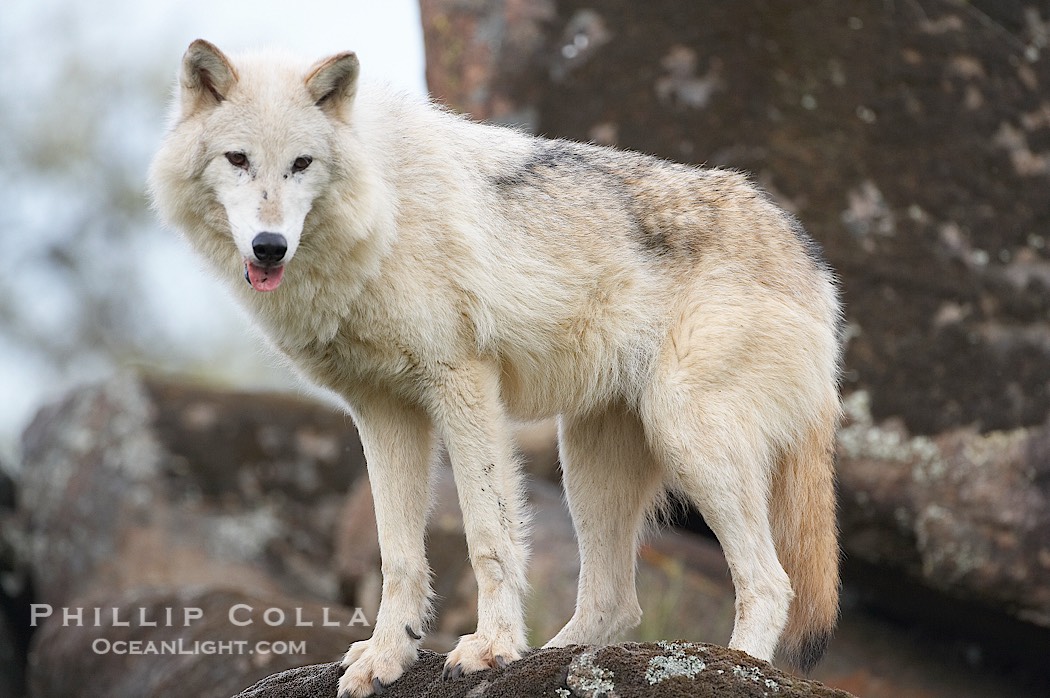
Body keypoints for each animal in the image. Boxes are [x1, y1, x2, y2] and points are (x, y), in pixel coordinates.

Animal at [148, 39, 842, 698]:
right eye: (237, 159)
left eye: (302, 164)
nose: (269, 246)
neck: (383, 212)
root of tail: (810, 260)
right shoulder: (382, 411)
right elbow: (398, 557)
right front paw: (386, 658)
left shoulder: (464, 385)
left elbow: (490, 537)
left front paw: (490, 649)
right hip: (588, 465)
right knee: (618, 602)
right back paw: (556, 661)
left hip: (685, 438)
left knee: (769, 584)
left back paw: (735, 667)